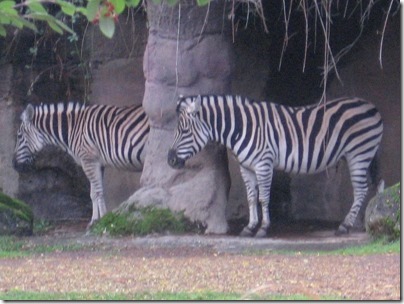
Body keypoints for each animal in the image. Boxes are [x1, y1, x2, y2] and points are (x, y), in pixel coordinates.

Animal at [12, 101, 149, 226]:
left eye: (19, 136)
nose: (13, 164)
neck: (72, 129)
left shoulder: (88, 160)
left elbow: (98, 191)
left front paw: (103, 219)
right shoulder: (97, 163)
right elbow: (93, 193)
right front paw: (94, 220)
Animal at [168, 95, 386, 238]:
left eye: (185, 131)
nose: (170, 160)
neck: (241, 128)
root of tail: (371, 106)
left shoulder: (264, 163)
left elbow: (264, 198)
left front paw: (263, 228)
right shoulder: (246, 167)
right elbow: (251, 197)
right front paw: (249, 227)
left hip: (359, 153)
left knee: (361, 189)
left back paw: (345, 226)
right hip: (360, 155)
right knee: (371, 186)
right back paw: (365, 221)